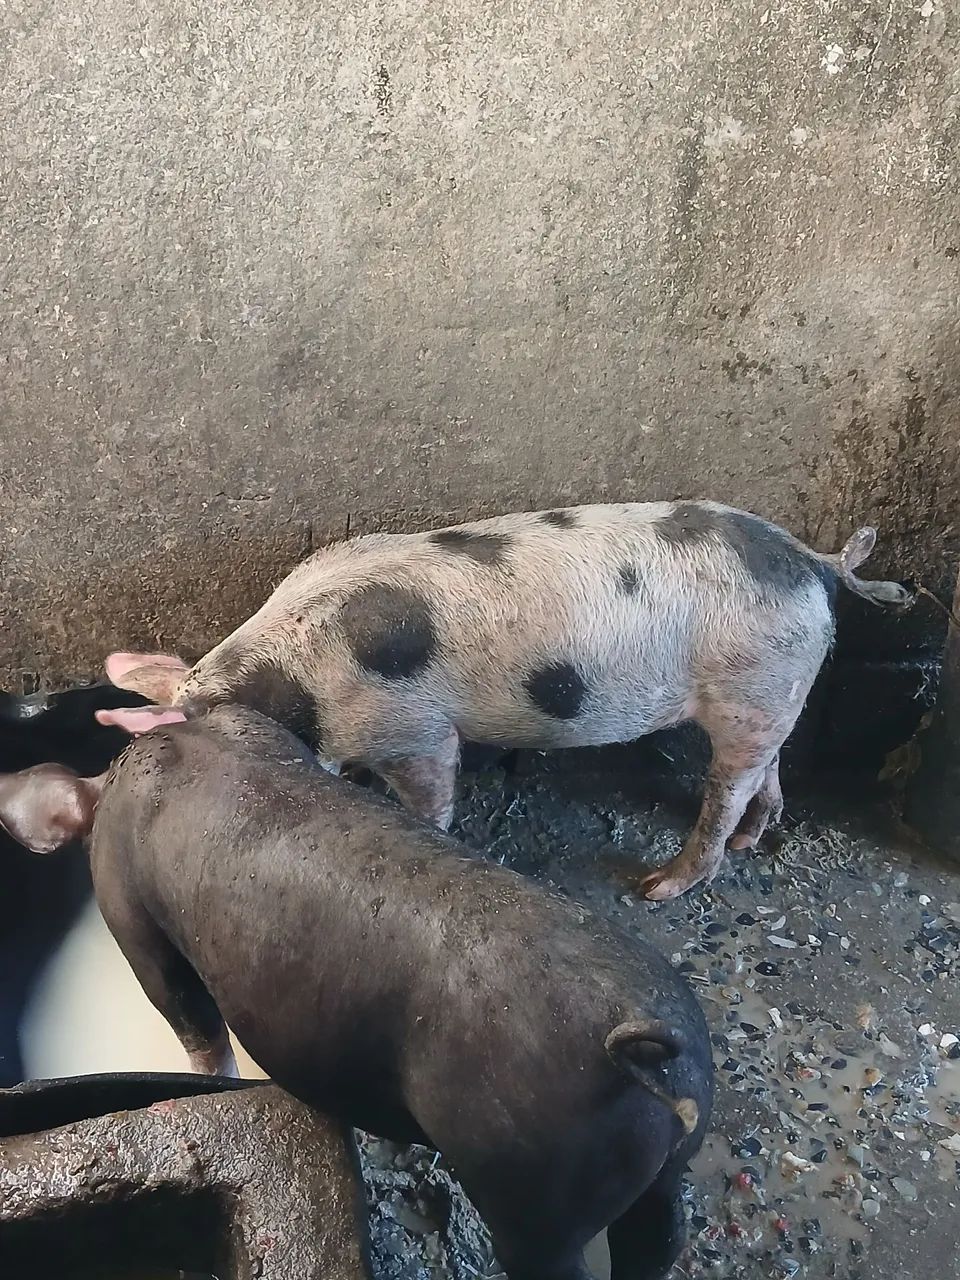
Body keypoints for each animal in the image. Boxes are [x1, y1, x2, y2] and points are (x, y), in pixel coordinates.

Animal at [0, 704, 714, 1280]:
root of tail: (637, 1036)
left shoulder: (135, 919)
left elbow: (193, 1022)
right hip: (668, 1160)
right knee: (658, 1242)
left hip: (533, 1187)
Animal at [98, 502, 914, 899]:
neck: (299, 690)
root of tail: (812, 560)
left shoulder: (415, 730)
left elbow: (432, 795)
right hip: (771, 693)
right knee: (763, 772)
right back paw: (750, 842)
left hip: (754, 682)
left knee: (728, 786)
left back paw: (660, 887)